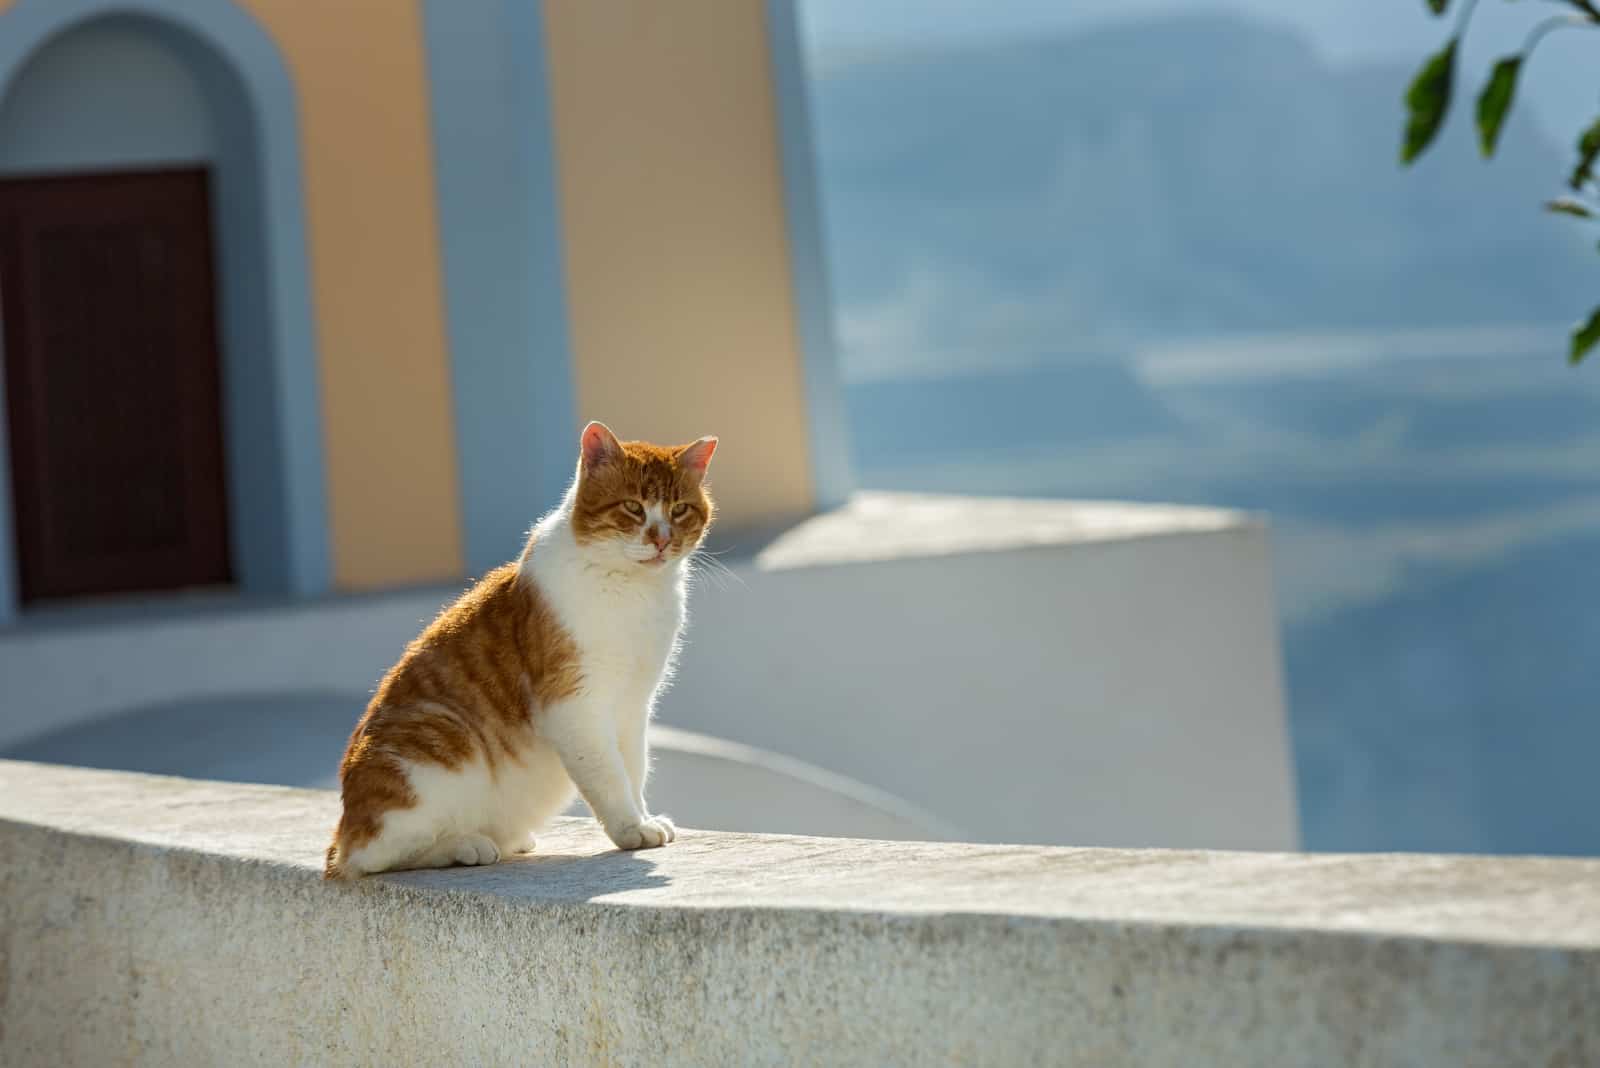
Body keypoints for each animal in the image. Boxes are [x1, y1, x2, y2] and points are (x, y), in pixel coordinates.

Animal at [321, 422, 716, 882]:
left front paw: (643, 816)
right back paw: (464, 845)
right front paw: (630, 828)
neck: (633, 591)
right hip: (440, 736)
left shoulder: (634, 706)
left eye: (679, 510)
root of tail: (342, 834)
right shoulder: (574, 702)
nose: (662, 539)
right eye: (634, 507)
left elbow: (634, 769)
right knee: (376, 856)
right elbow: (609, 775)